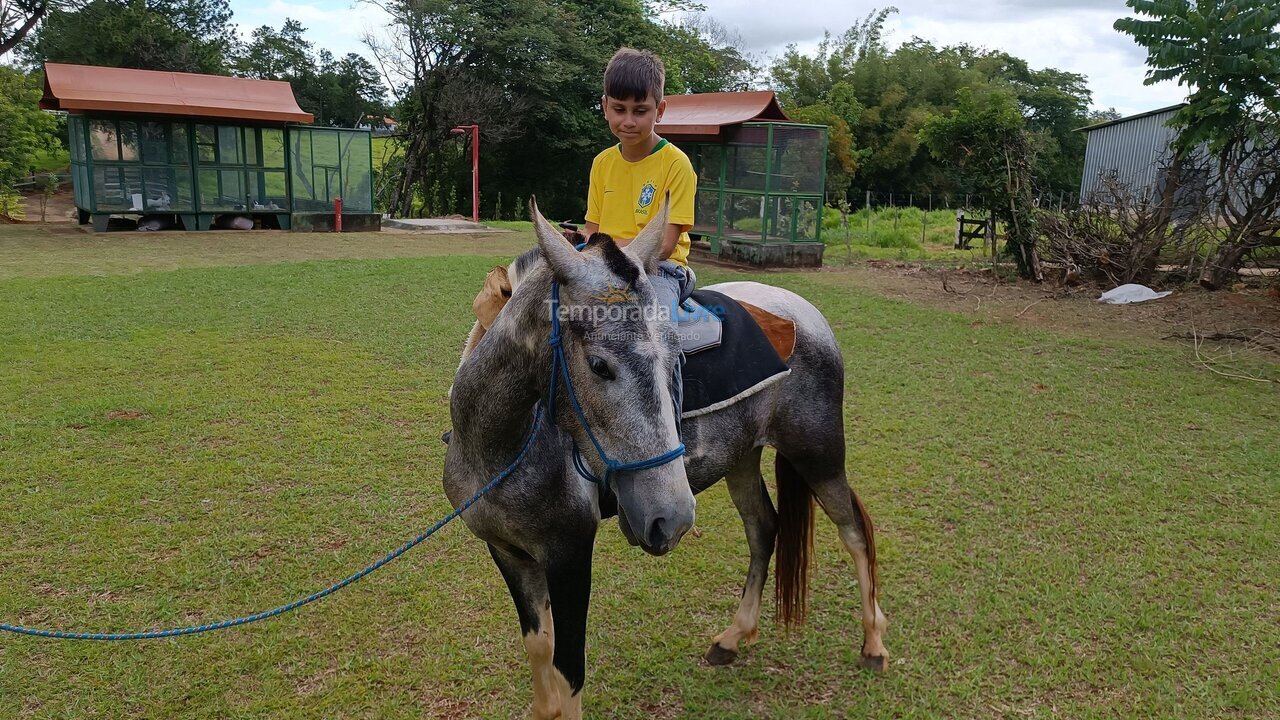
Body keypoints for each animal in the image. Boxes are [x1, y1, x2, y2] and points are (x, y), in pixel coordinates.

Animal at [445, 203, 885, 717]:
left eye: (677, 358)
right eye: (599, 365)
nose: (671, 518)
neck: (498, 448)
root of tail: (803, 310)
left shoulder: (569, 552)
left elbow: (567, 668)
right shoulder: (507, 551)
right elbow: (539, 648)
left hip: (818, 453)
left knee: (854, 531)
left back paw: (874, 644)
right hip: (742, 458)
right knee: (764, 529)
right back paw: (733, 638)